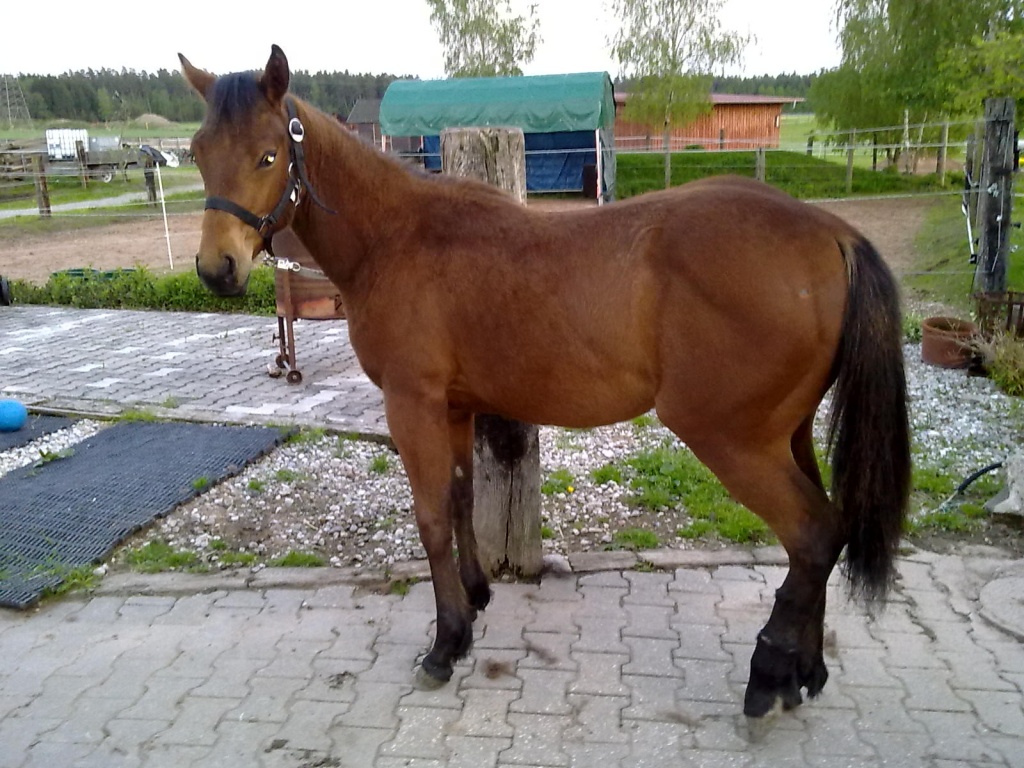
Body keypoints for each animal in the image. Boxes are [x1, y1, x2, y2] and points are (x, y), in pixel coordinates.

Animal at [179, 45, 910, 717]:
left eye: (268, 155)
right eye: (197, 150)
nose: (218, 268)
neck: (398, 237)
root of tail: (830, 233)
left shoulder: (412, 405)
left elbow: (431, 517)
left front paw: (445, 643)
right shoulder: (452, 408)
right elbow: (460, 498)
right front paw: (474, 602)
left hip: (733, 440)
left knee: (811, 536)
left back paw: (768, 674)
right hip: (787, 434)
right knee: (826, 533)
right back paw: (805, 672)